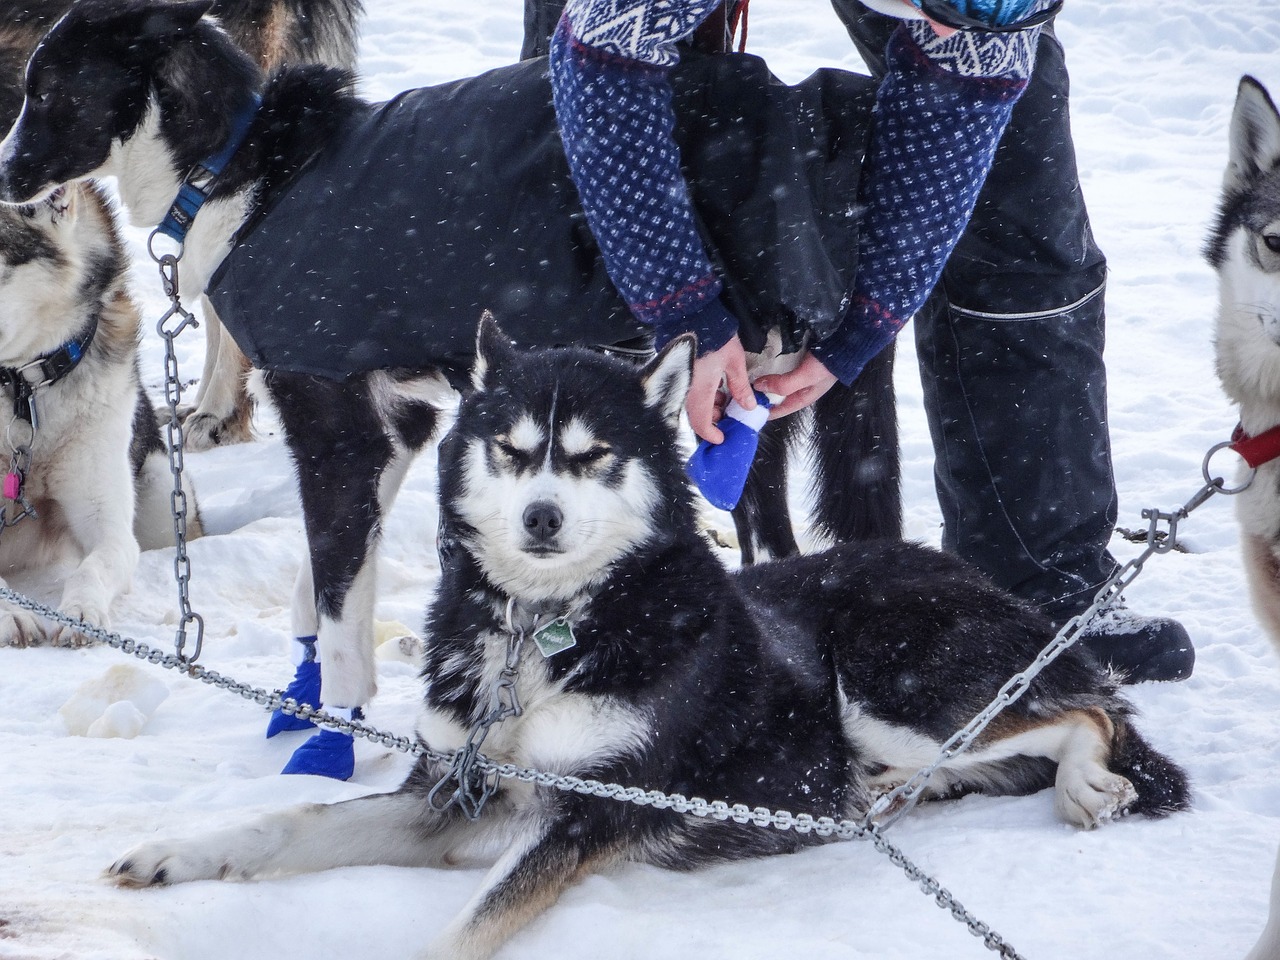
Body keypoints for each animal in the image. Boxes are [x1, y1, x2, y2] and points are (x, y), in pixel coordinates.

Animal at [107, 321, 1187, 960]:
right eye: (511, 450)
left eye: (594, 457)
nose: (541, 517)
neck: (544, 632)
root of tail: (978, 580)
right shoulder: (447, 794)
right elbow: (287, 825)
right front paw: (176, 854)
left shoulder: (591, 814)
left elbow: (469, 923)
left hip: (889, 692)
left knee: (1087, 713)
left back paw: (1086, 784)